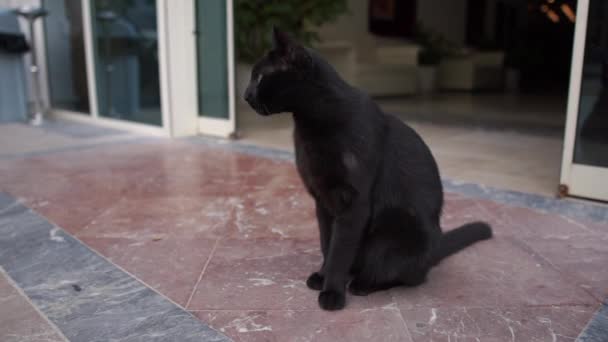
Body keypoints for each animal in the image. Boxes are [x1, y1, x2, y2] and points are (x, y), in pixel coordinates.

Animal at [245, 28, 492, 312]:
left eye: (259, 77)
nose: (245, 95)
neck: (311, 124)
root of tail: (436, 245)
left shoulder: (354, 204)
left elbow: (339, 251)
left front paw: (332, 291)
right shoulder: (323, 202)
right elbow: (327, 244)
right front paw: (322, 276)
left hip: (397, 234)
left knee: (406, 276)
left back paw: (362, 284)